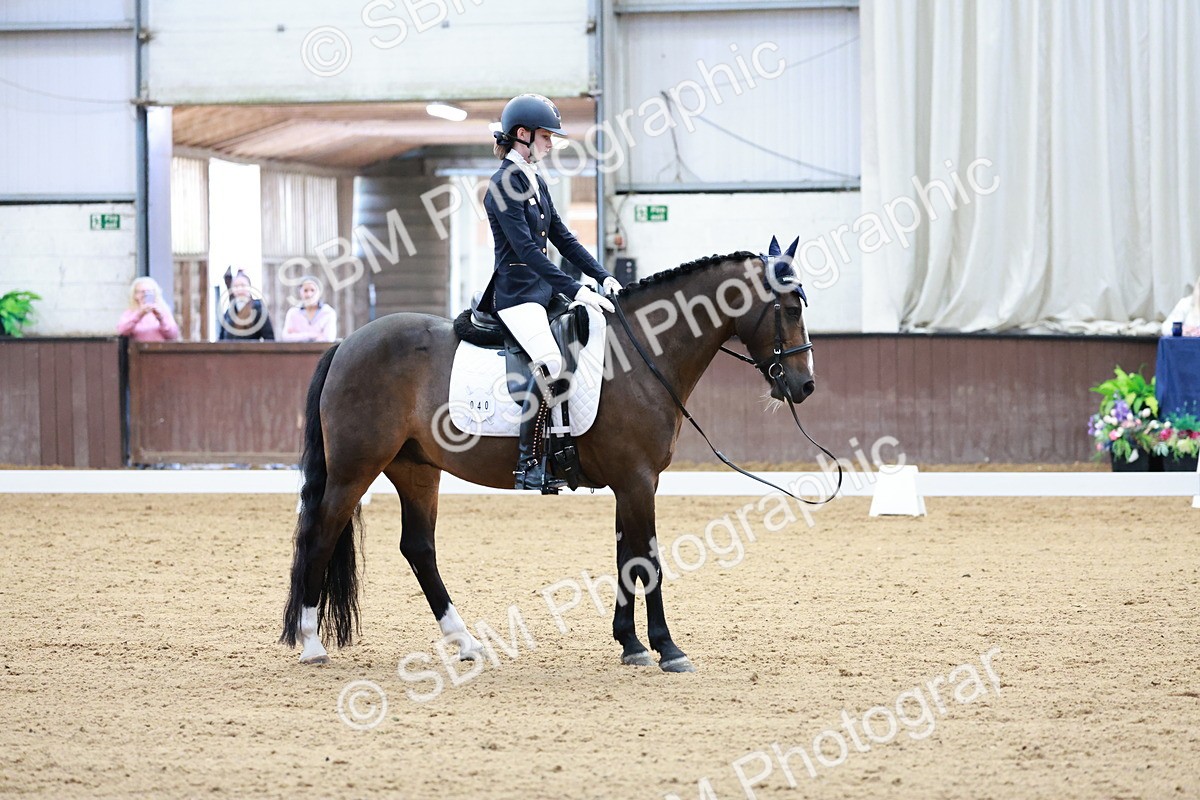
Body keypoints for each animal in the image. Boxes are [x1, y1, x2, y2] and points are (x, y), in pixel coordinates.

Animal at [280, 236, 816, 673]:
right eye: (790, 308)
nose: (804, 386)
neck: (642, 353)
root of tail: (346, 343)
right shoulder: (638, 479)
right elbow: (648, 560)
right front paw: (667, 648)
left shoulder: (632, 482)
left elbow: (627, 557)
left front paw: (631, 644)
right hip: (354, 470)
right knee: (320, 535)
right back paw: (311, 644)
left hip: (416, 470)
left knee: (418, 548)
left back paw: (465, 642)